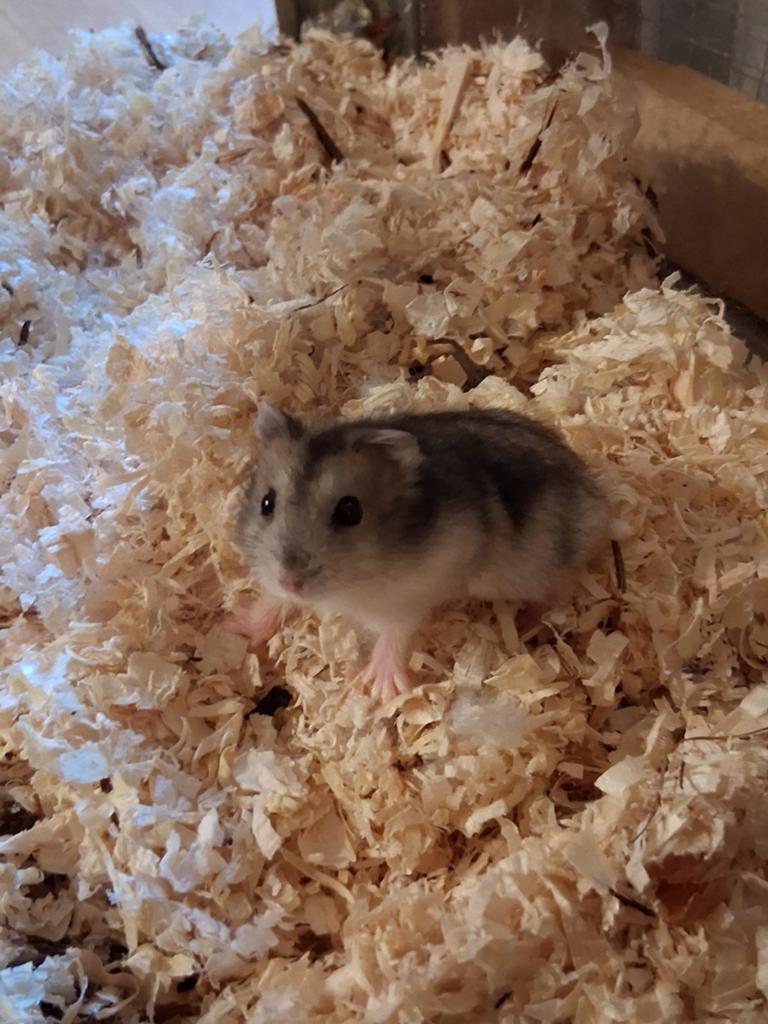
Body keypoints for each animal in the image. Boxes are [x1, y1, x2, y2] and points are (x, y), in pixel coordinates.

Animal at [231, 402, 609, 703]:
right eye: (267, 502)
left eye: (350, 511)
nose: (291, 582)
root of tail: (593, 493)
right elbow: (272, 602)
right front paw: (237, 630)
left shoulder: (412, 594)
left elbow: (395, 632)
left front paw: (379, 688)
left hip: (540, 567)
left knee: (562, 586)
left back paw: (529, 623)